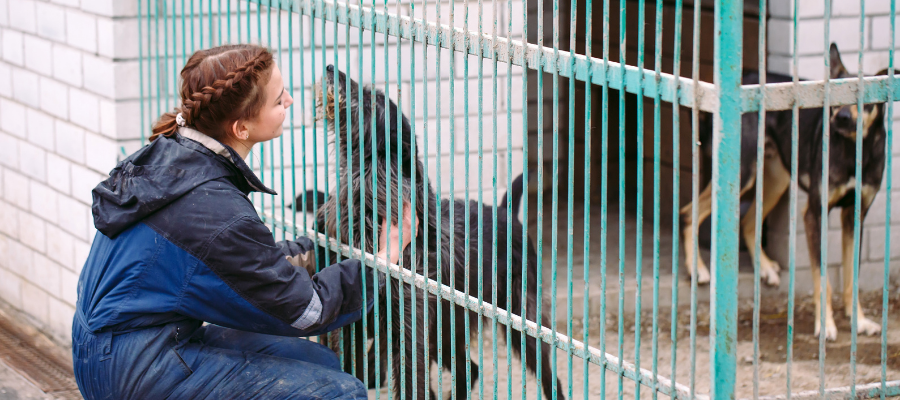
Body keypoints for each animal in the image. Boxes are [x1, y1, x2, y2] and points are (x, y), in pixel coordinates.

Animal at [312, 65, 560, 400]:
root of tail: (505, 212)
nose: (329, 67)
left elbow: (411, 386)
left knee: (548, 378)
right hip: (444, 333)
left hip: (522, 323)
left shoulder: (407, 331)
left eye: (373, 99)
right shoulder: (351, 331)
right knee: (470, 370)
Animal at [684, 43, 892, 340]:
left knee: (748, 222)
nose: (840, 117)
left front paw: (859, 321)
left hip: (776, 180)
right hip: (742, 176)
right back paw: (698, 270)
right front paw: (825, 325)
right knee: (689, 212)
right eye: (836, 94)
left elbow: (852, 277)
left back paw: (765, 268)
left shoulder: (856, 215)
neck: (853, 150)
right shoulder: (814, 214)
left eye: (863, 101)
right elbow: (822, 278)